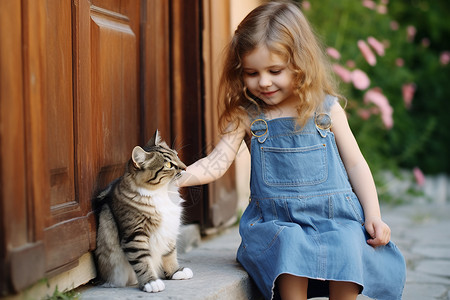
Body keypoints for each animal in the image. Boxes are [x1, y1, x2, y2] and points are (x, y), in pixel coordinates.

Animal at [94, 130, 192, 292]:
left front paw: (175, 272)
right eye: (169, 165)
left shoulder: (168, 231)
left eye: (177, 156)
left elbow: (170, 254)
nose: (185, 168)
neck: (163, 192)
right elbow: (142, 262)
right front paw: (151, 282)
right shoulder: (135, 235)